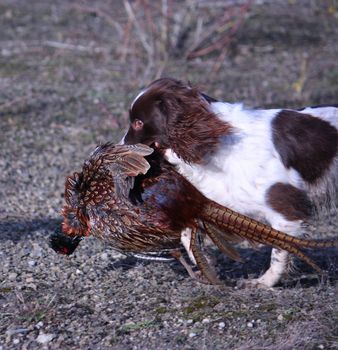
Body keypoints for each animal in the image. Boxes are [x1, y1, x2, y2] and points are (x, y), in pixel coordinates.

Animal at [122, 77, 338, 288]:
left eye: (138, 122)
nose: (120, 147)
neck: (217, 146)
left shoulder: (286, 210)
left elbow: (280, 249)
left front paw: (265, 282)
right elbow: (188, 233)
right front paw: (206, 264)